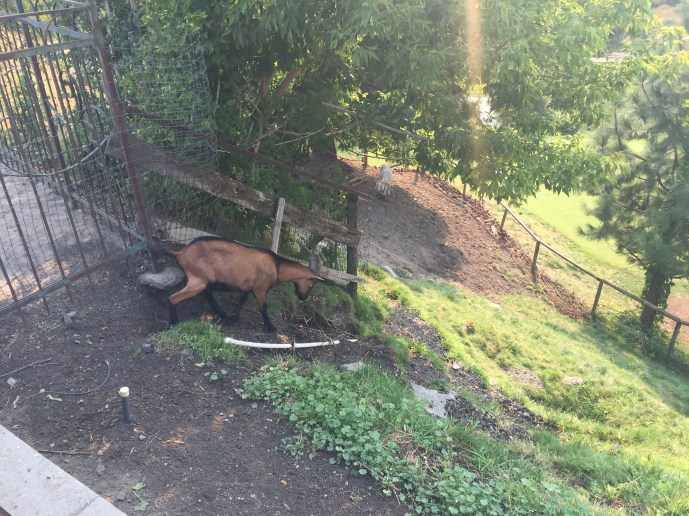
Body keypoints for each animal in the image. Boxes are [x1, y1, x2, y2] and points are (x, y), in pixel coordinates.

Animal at [159, 237, 322, 332]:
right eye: (312, 284)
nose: (302, 297)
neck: (278, 266)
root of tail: (181, 253)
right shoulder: (260, 289)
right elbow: (263, 307)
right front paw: (271, 327)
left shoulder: (246, 287)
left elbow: (242, 300)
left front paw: (233, 318)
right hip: (198, 280)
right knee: (173, 298)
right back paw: (174, 323)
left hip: (203, 280)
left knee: (208, 295)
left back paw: (223, 315)